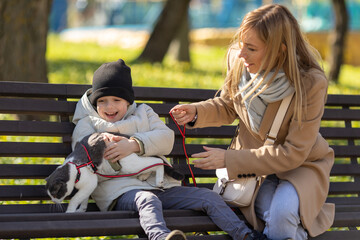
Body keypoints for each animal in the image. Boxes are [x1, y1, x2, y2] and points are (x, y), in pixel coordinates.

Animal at [45, 132, 183, 213]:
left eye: (55, 194)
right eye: (50, 196)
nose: (53, 201)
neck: (75, 167)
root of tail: (128, 138)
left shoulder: (90, 182)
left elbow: (75, 198)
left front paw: (70, 210)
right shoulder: (87, 187)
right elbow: (83, 198)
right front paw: (81, 210)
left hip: (129, 164)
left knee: (158, 161)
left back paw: (158, 180)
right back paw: (144, 176)